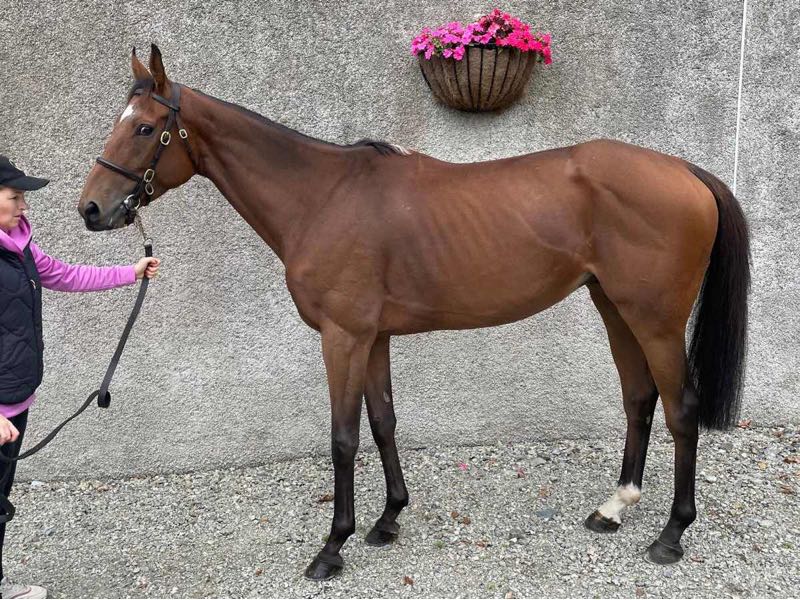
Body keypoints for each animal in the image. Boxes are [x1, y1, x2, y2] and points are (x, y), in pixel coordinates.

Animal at [77, 44, 750, 581]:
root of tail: (684, 170)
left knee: (681, 408)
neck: (321, 197)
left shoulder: (343, 337)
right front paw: (387, 521)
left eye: (144, 129)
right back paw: (613, 508)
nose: (91, 209)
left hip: (656, 319)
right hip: (614, 305)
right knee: (639, 397)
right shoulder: (373, 337)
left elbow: (344, 437)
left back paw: (670, 536)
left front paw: (333, 547)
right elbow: (383, 423)